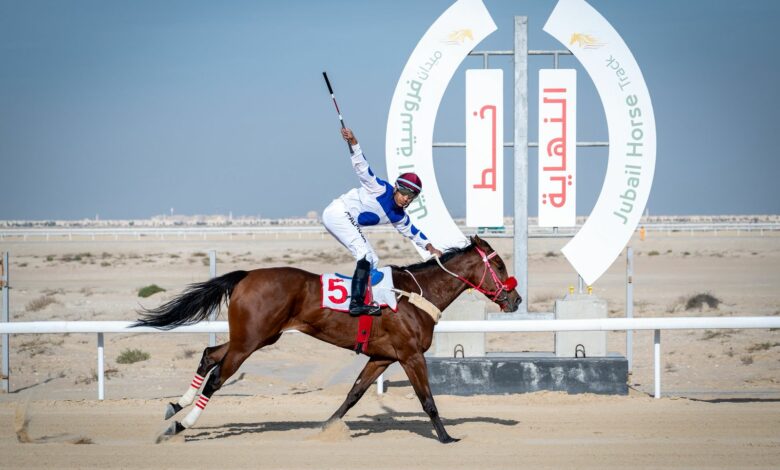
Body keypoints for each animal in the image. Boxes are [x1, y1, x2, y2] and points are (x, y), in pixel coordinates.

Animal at [133, 235, 521, 443]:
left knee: (209, 354)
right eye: (500, 265)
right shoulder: (411, 355)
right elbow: (428, 401)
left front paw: (325, 428)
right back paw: (180, 424)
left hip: (256, 337)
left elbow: (353, 395)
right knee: (216, 376)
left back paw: (175, 406)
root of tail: (246, 276)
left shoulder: (382, 357)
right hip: (250, 341)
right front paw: (446, 437)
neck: (415, 295)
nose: (515, 300)